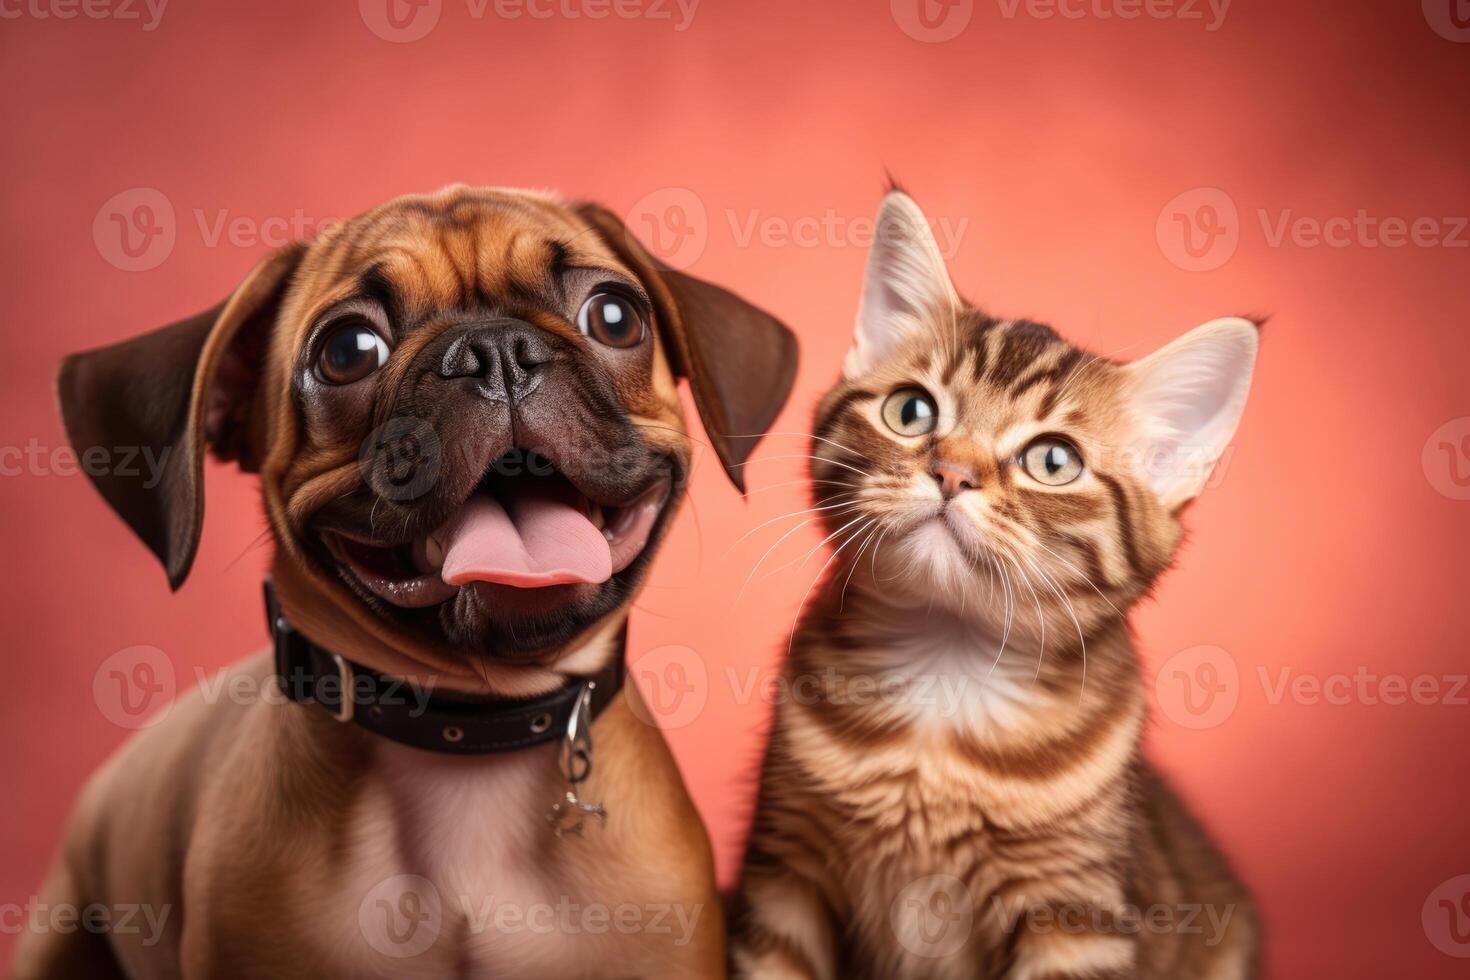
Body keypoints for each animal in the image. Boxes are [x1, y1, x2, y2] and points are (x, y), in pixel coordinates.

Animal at [729, 191, 1258, 980]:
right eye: (911, 410)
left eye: (1053, 461)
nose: (952, 472)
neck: (945, 684)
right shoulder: (784, 880)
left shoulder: (1074, 918)